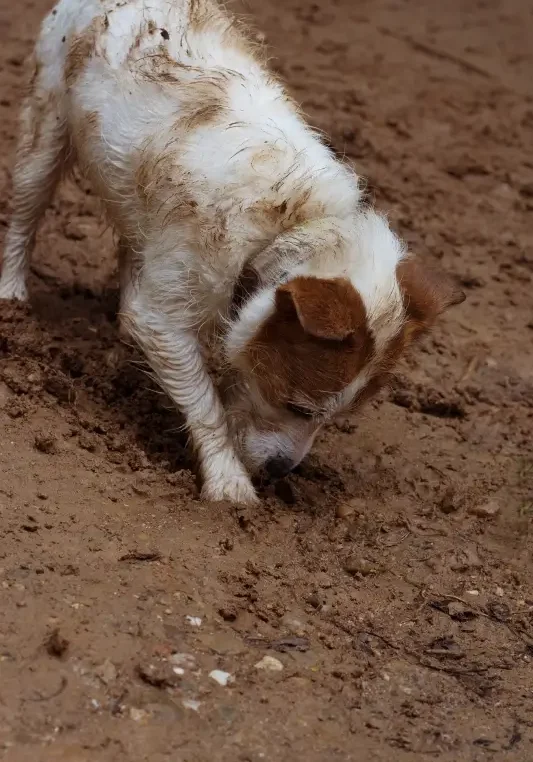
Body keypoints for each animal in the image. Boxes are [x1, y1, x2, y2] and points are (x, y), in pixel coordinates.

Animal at [0, 0, 466, 504]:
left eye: (335, 418)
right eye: (296, 405)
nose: (281, 472)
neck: (288, 227)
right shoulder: (167, 316)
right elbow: (205, 402)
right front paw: (229, 482)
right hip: (46, 128)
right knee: (26, 213)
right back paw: (13, 294)